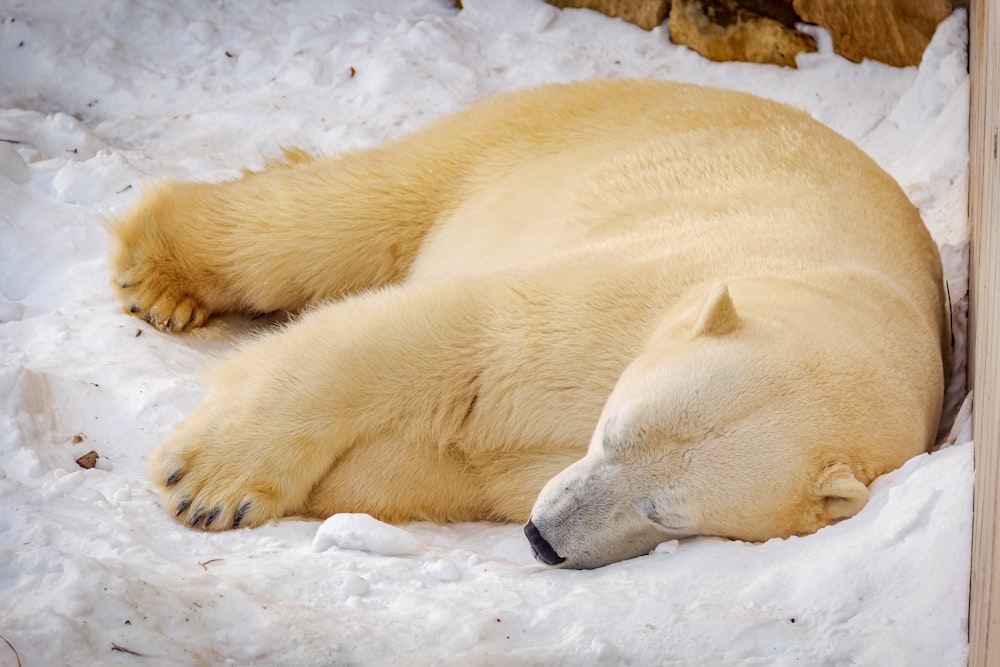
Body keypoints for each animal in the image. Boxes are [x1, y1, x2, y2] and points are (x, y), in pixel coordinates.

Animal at [109, 78, 944, 568]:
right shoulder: (630, 288)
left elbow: (446, 461)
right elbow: (448, 334)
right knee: (336, 217)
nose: (543, 538)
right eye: (614, 431)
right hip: (522, 138)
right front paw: (208, 483)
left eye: (667, 512)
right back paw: (161, 275)